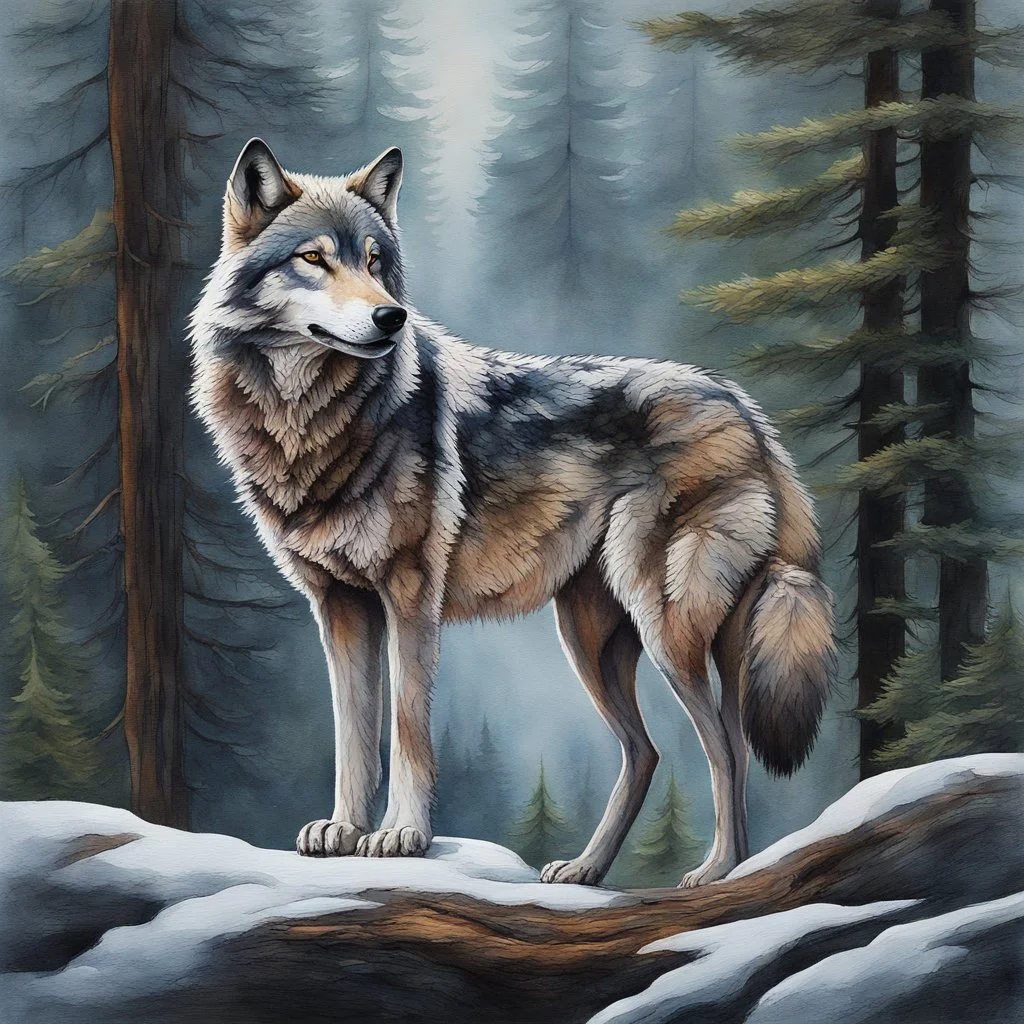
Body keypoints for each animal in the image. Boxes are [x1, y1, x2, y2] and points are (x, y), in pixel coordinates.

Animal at [190, 138, 836, 887]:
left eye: (376, 263)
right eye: (314, 259)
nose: (391, 318)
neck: (312, 421)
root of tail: (743, 406)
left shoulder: (410, 600)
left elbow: (407, 731)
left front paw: (402, 834)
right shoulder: (340, 607)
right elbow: (354, 735)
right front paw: (344, 830)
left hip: (666, 622)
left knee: (725, 748)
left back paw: (716, 872)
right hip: (594, 637)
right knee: (652, 752)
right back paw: (587, 869)